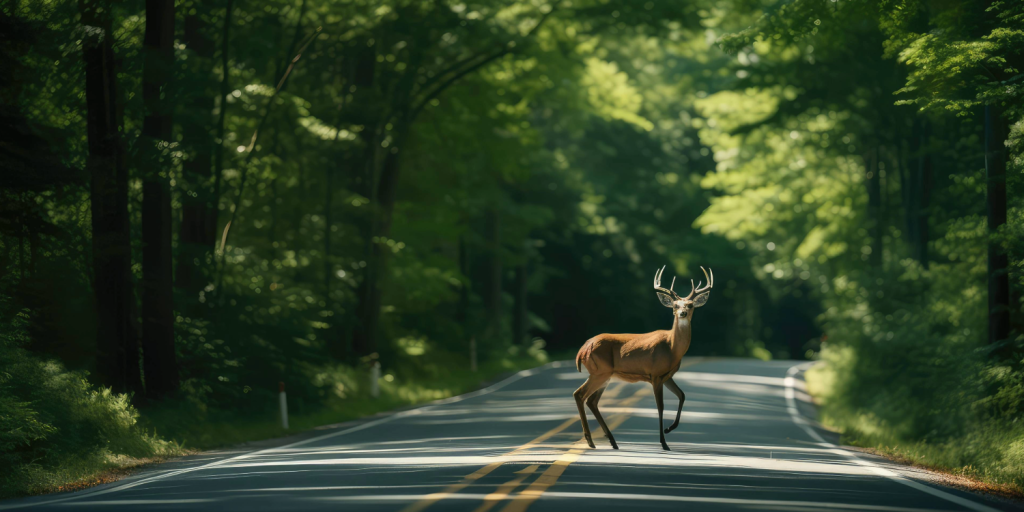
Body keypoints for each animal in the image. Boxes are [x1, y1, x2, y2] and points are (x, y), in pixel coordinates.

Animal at [573, 265, 713, 451]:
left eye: (690, 305)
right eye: (675, 305)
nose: (682, 313)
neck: (672, 348)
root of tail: (582, 350)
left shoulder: (667, 375)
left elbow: (682, 395)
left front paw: (669, 429)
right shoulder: (655, 374)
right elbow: (660, 406)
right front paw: (663, 442)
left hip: (604, 375)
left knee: (591, 401)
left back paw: (612, 441)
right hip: (600, 372)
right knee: (580, 394)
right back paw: (591, 440)